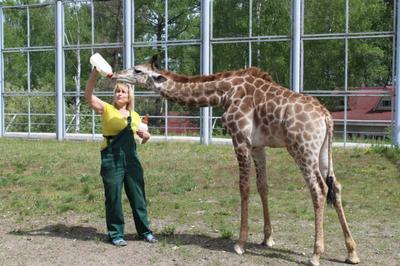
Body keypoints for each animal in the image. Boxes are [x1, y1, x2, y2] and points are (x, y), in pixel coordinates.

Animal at [111, 57, 360, 264]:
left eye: (137, 70)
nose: (115, 74)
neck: (224, 93)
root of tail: (326, 117)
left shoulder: (240, 139)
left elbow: (244, 187)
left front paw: (240, 243)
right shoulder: (258, 145)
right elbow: (263, 186)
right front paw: (267, 238)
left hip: (302, 149)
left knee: (318, 189)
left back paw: (316, 254)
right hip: (323, 152)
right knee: (335, 186)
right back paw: (351, 252)